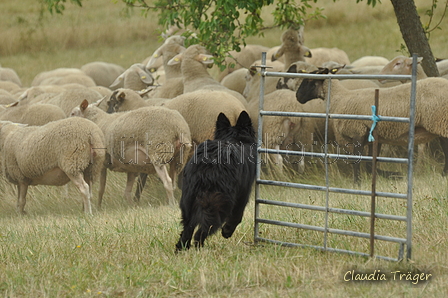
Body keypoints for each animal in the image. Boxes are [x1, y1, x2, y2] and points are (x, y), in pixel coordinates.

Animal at [176, 110, 258, 250]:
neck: (233, 139)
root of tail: (206, 163)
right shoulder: (242, 195)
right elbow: (237, 216)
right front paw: (227, 232)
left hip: (188, 202)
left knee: (187, 231)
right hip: (219, 205)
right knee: (201, 232)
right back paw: (200, 249)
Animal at [298, 68, 448, 183]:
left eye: (309, 81)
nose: (297, 96)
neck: (339, 98)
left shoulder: (357, 132)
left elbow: (358, 161)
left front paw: (357, 182)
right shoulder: (374, 137)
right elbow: (370, 164)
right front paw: (394, 175)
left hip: (439, 120)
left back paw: (444, 174)